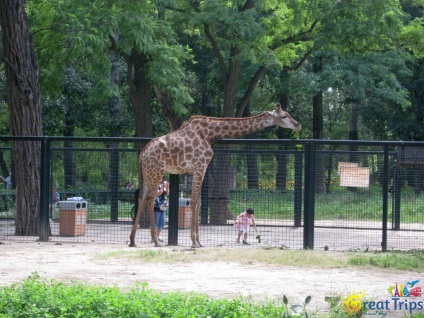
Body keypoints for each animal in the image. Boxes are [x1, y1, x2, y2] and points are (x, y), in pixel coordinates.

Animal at [130, 103, 302, 247]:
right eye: (284, 116)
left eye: (288, 113)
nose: (298, 125)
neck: (210, 134)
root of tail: (142, 154)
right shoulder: (200, 167)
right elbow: (194, 202)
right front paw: (194, 242)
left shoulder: (201, 169)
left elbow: (199, 203)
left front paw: (199, 241)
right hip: (157, 171)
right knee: (150, 199)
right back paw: (155, 241)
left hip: (147, 173)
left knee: (141, 198)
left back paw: (133, 241)